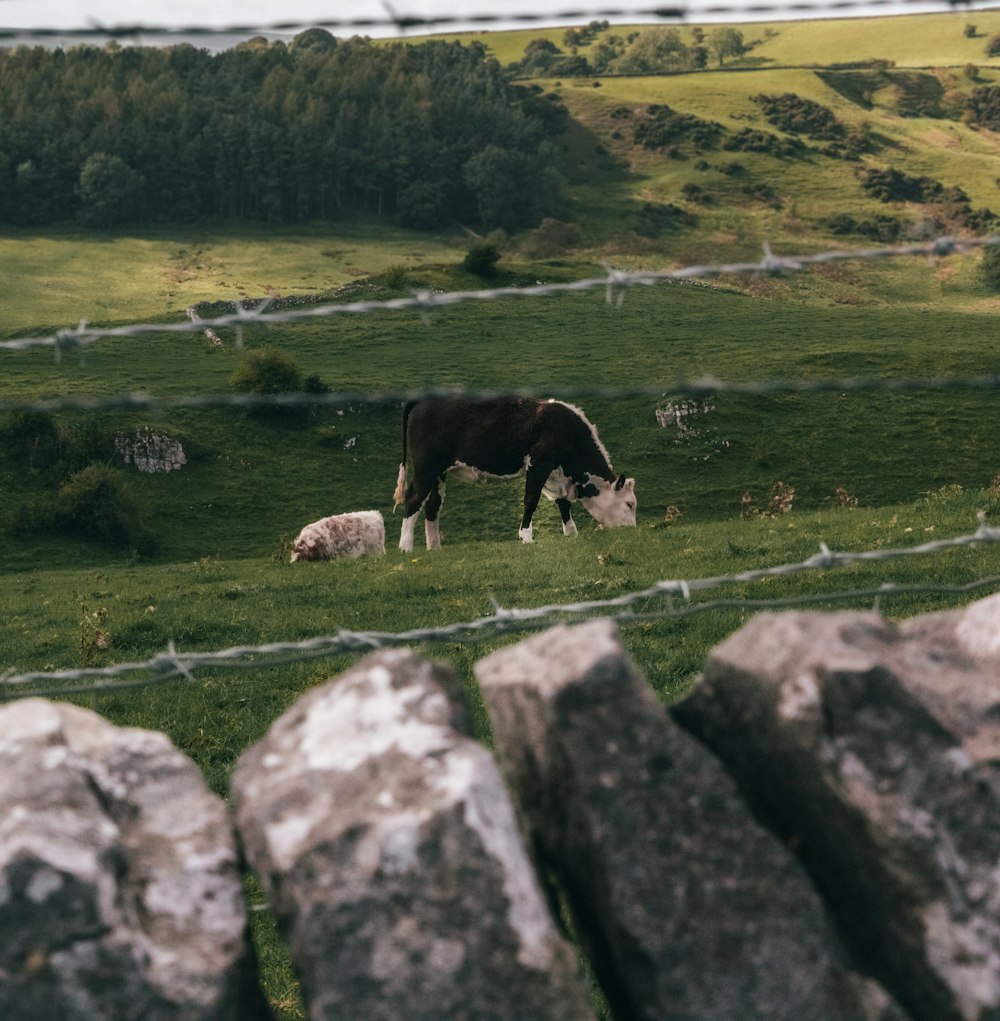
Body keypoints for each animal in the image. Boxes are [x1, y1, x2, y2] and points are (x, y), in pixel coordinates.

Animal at [390, 396, 633, 555]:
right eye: (630, 504)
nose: (632, 530)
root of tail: (422, 400)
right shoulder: (539, 464)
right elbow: (530, 501)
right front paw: (526, 536)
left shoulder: (555, 473)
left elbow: (562, 503)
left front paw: (571, 533)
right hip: (426, 469)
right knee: (414, 500)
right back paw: (406, 547)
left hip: (438, 473)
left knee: (432, 506)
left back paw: (435, 547)